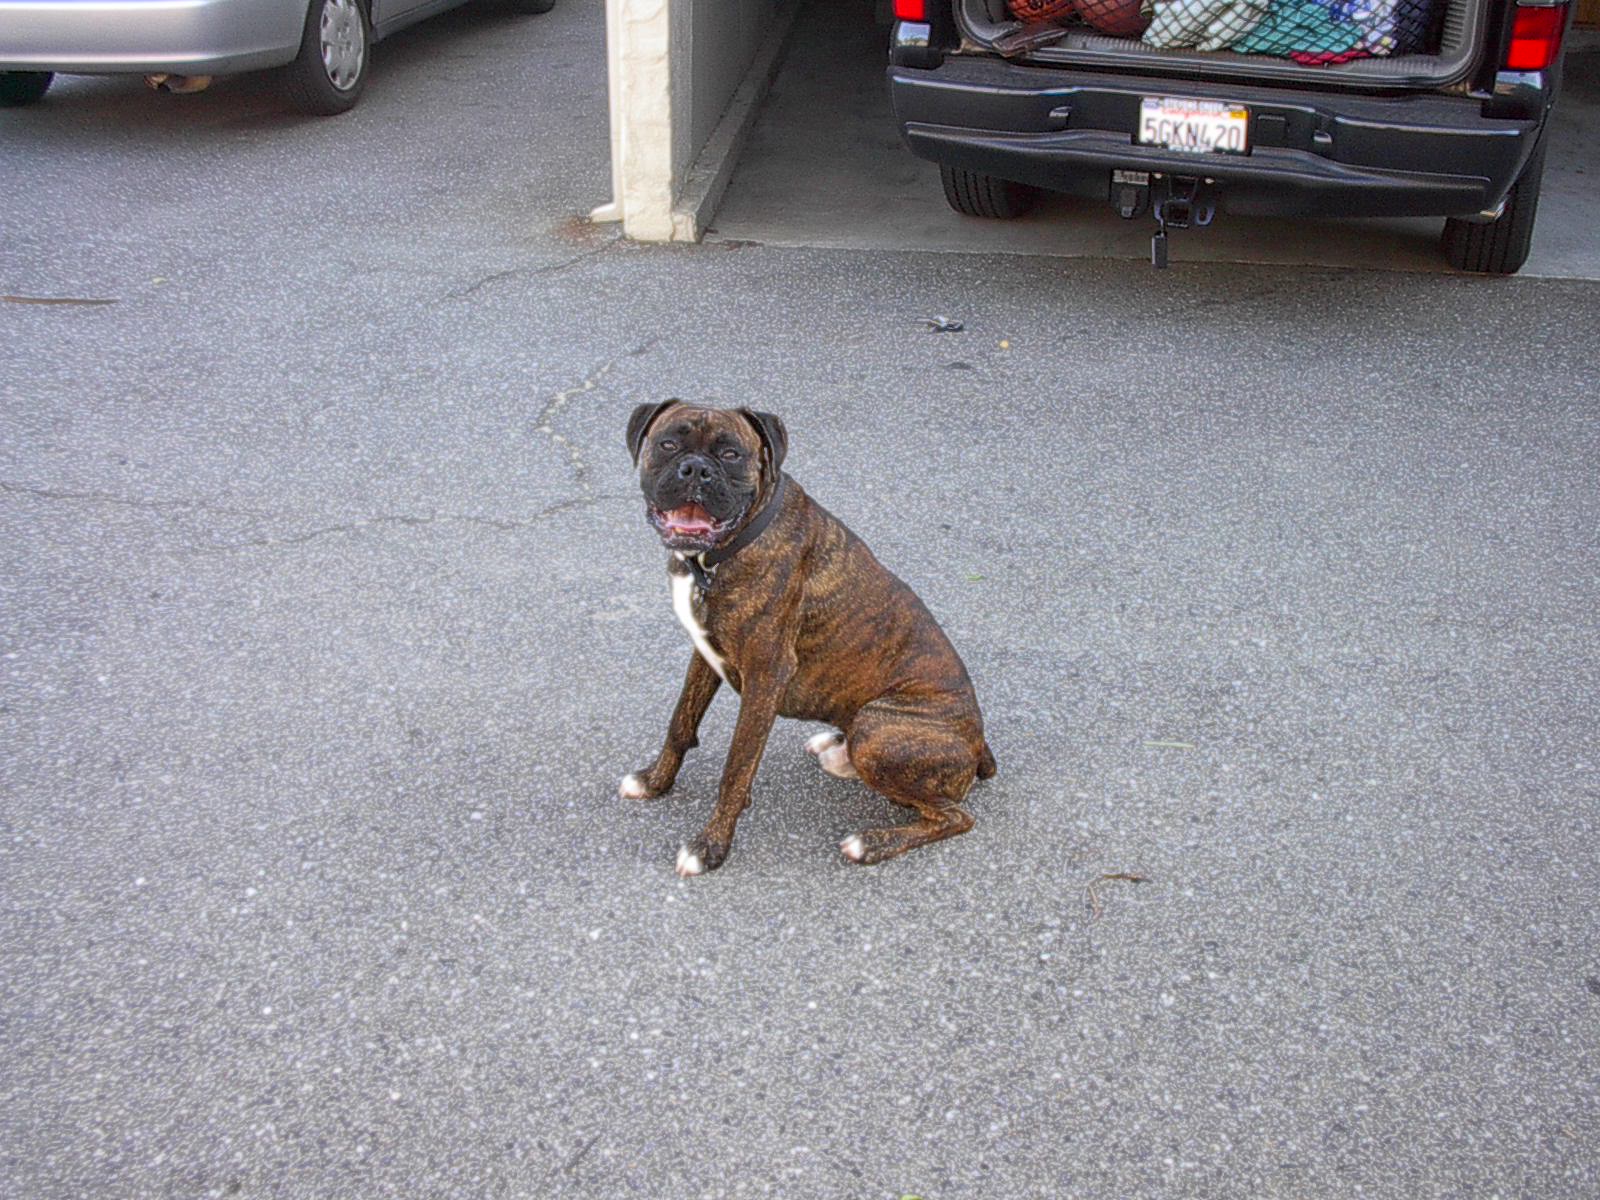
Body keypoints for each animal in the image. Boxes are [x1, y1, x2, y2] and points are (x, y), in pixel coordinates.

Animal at [620, 401, 995, 875]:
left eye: (731, 454)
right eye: (668, 444)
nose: (696, 469)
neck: (722, 554)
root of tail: (978, 744)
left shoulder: (766, 676)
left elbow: (736, 768)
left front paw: (710, 848)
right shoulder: (704, 655)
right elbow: (680, 723)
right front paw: (655, 782)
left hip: (878, 729)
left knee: (954, 816)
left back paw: (870, 843)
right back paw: (834, 746)